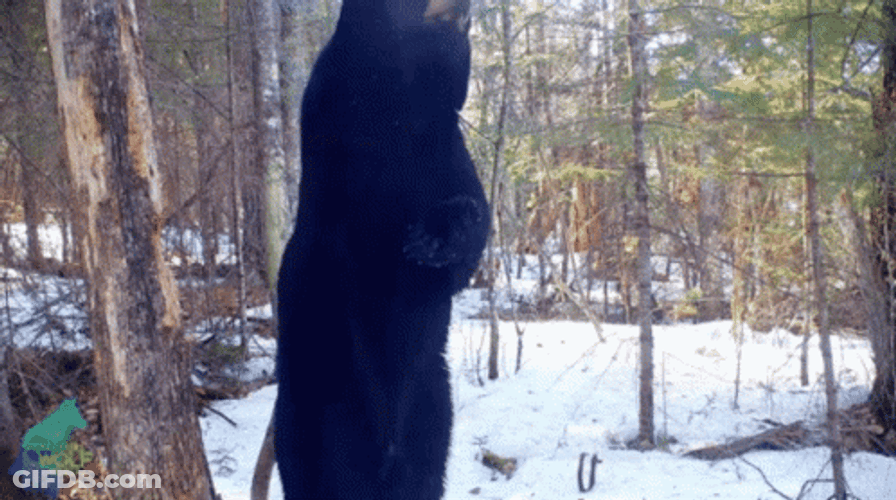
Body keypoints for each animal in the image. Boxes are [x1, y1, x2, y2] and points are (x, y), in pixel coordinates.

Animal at [273, 0, 488, 498]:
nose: (467, 8)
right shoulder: (345, 172)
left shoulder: (445, 154)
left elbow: (468, 233)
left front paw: (437, 236)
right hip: (323, 412)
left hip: (433, 410)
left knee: (426, 473)